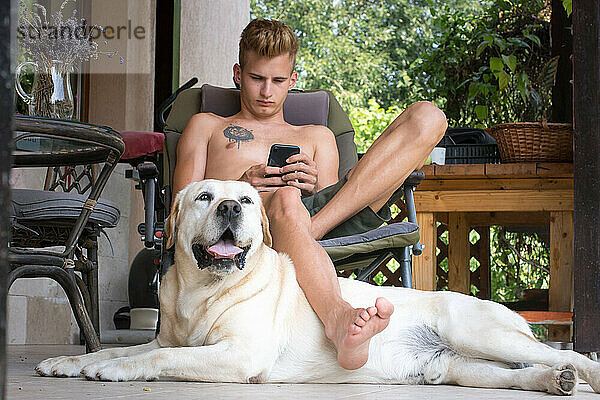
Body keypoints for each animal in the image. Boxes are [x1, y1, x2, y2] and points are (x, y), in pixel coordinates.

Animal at [36, 180, 600, 394]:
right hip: (459, 367)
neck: (203, 291)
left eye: (246, 199)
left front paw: (111, 372)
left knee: (572, 355)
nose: (231, 207)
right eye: (203, 197)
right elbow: (116, 349)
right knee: (519, 374)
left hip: (481, 332)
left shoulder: (239, 354)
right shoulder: (169, 335)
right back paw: (552, 383)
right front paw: (69, 362)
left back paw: (576, 373)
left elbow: (155, 357)